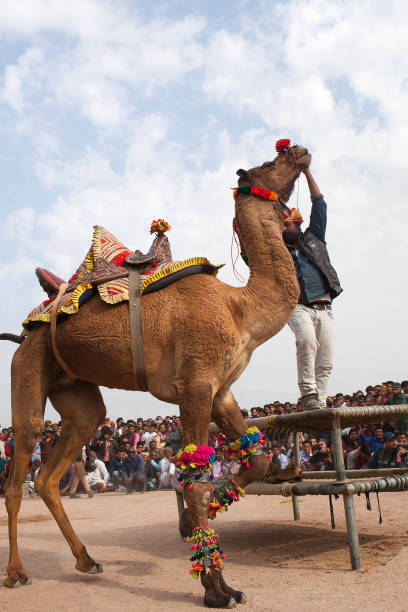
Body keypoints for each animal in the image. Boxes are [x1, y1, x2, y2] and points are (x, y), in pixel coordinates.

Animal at [2, 143, 310, 608]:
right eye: (272, 163)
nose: (300, 150)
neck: (241, 309)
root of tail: (24, 331)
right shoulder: (195, 384)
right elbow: (196, 479)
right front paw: (218, 588)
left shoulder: (221, 391)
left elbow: (256, 458)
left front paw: (196, 523)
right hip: (27, 370)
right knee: (20, 471)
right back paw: (17, 573)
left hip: (76, 392)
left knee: (51, 471)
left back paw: (86, 560)